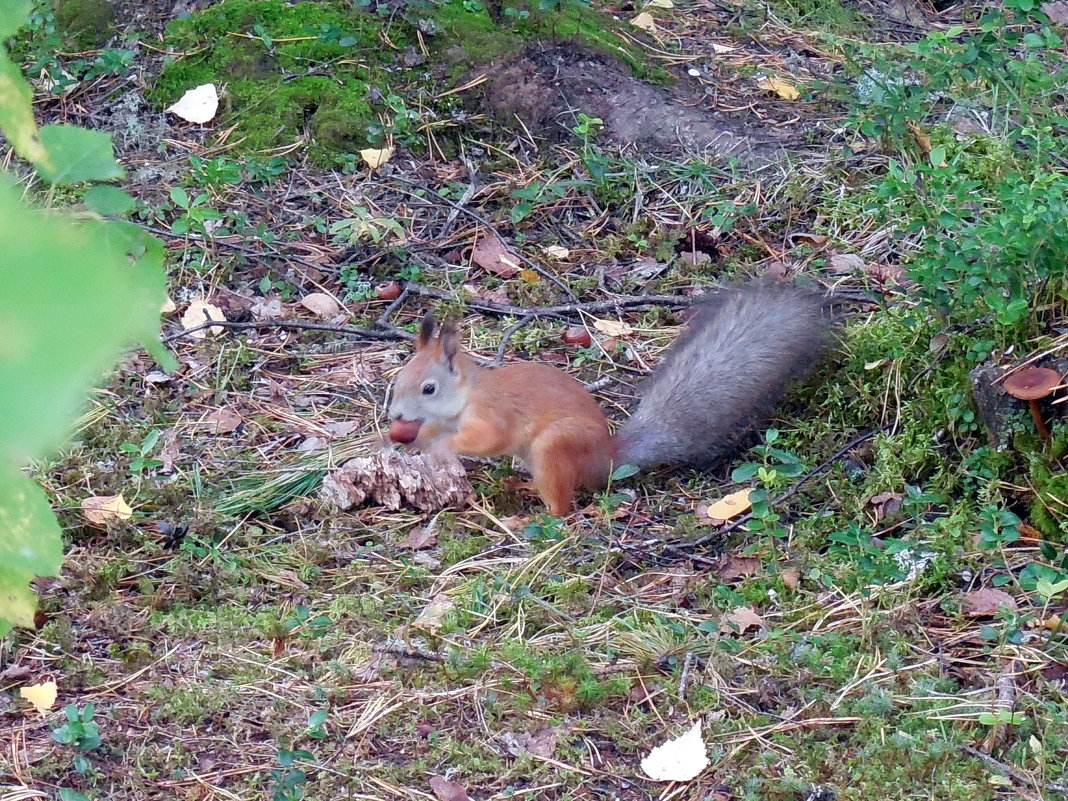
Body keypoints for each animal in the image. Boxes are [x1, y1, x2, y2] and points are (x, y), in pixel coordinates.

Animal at [388, 286, 828, 516]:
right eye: (398, 379)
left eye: (428, 388)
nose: (396, 415)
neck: (464, 396)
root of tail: (607, 459)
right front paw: (407, 441)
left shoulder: (494, 413)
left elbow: (488, 438)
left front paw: (444, 446)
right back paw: (522, 486)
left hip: (555, 446)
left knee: (561, 506)